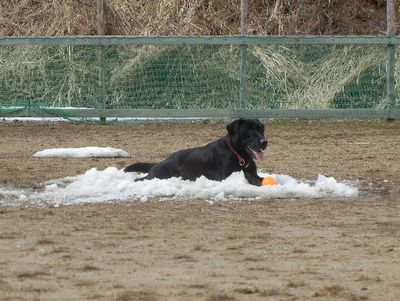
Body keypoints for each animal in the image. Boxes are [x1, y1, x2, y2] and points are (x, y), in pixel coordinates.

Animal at [124, 118, 268, 185]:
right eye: (248, 131)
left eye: (260, 129)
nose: (264, 142)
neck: (238, 154)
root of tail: (163, 160)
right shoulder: (224, 177)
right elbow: (247, 176)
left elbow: (252, 175)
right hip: (159, 175)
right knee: (141, 179)